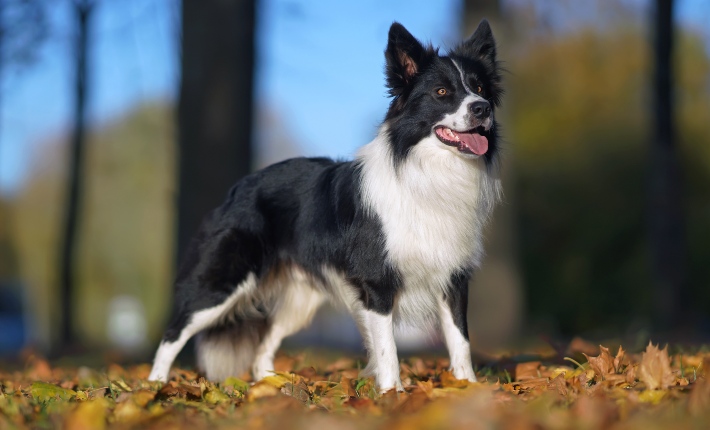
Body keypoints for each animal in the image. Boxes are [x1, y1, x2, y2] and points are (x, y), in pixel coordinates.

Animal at [149, 19, 506, 394]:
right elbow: (388, 348)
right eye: (441, 92)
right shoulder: (377, 281)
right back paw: (154, 387)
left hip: (299, 299)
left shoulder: (453, 276)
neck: (427, 171)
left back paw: (271, 387)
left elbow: (459, 339)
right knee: (173, 333)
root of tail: (241, 186)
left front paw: (467, 388)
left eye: (479, 87)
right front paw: (392, 394)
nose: (482, 108)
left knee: (262, 347)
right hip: (223, 281)